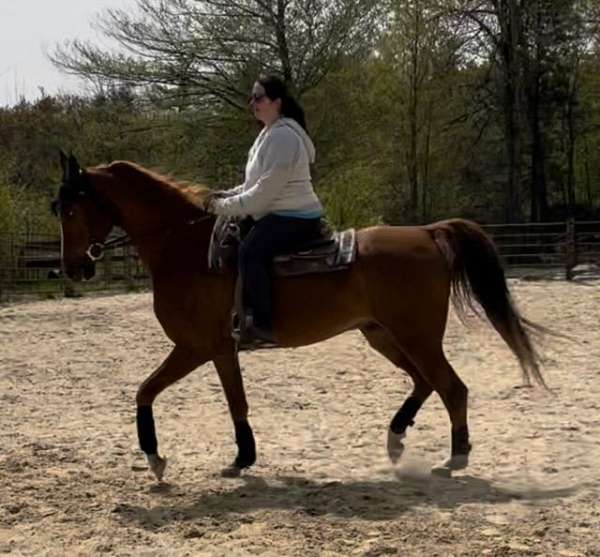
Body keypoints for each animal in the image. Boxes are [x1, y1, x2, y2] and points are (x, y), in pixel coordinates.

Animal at [54, 151, 548, 478]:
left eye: (73, 208)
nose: (74, 267)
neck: (186, 248)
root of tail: (427, 233)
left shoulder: (199, 347)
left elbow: (155, 391)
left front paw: (162, 457)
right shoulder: (214, 350)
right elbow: (202, 397)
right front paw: (236, 457)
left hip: (417, 336)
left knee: (451, 387)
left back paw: (455, 457)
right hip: (383, 335)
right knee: (425, 383)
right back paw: (396, 438)